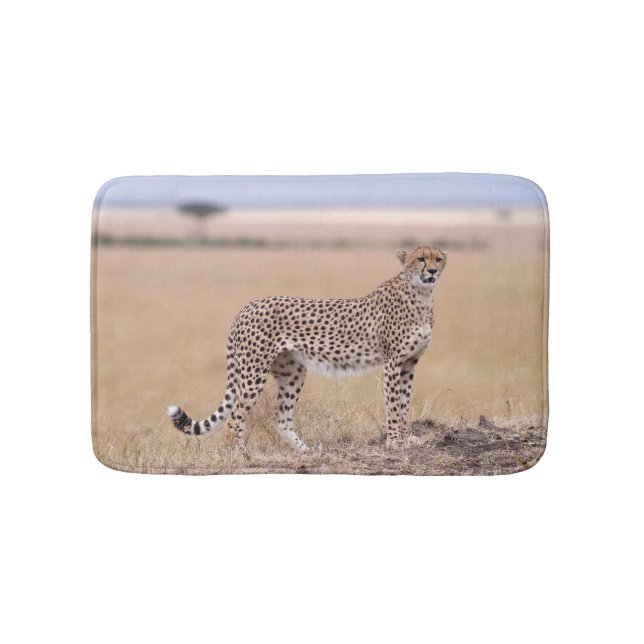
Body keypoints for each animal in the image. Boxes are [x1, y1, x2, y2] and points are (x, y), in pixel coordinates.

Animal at [167, 246, 446, 451]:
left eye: (439, 259)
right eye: (420, 259)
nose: (432, 271)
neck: (421, 295)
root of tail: (247, 306)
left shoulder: (409, 363)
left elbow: (405, 403)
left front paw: (407, 439)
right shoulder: (392, 363)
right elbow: (394, 405)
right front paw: (395, 442)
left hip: (292, 372)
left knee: (281, 418)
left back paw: (305, 451)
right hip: (254, 372)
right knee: (235, 415)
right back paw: (236, 454)